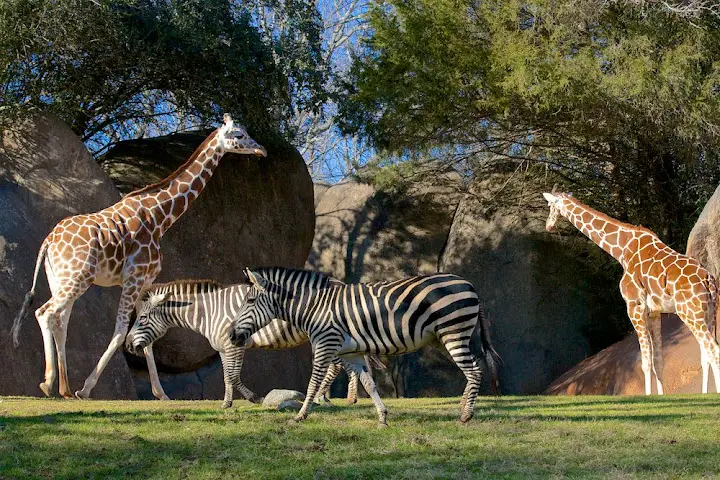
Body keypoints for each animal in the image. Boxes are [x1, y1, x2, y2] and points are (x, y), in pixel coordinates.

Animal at [11, 114, 268, 400]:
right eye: (239, 135)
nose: (262, 149)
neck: (160, 216)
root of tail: (48, 242)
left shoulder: (145, 281)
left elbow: (147, 334)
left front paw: (161, 394)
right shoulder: (133, 277)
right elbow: (121, 331)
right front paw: (86, 388)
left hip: (59, 278)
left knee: (61, 321)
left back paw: (64, 387)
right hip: (78, 277)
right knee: (45, 313)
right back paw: (50, 383)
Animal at [125, 278, 382, 408]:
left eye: (142, 318)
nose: (127, 345)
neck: (209, 312)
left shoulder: (234, 346)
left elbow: (233, 376)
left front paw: (252, 398)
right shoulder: (223, 348)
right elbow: (227, 376)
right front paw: (227, 403)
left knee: (337, 365)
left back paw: (325, 397)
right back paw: (344, 397)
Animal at [231, 266, 500, 428]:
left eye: (250, 300)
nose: (232, 335)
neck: (314, 307)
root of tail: (469, 284)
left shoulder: (325, 344)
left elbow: (312, 383)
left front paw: (300, 416)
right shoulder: (352, 353)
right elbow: (369, 385)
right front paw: (382, 418)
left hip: (453, 333)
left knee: (475, 371)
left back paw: (465, 415)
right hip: (445, 338)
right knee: (472, 370)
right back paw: (463, 408)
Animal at [544, 191, 716, 394]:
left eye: (551, 206)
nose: (548, 225)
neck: (622, 249)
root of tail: (708, 279)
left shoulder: (634, 306)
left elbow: (645, 363)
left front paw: (648, 397)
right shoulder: (654, 312)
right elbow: (658, 361)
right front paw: (661, 397)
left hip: (690, 313)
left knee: (713, 350)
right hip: (708, 313)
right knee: (706, 354)